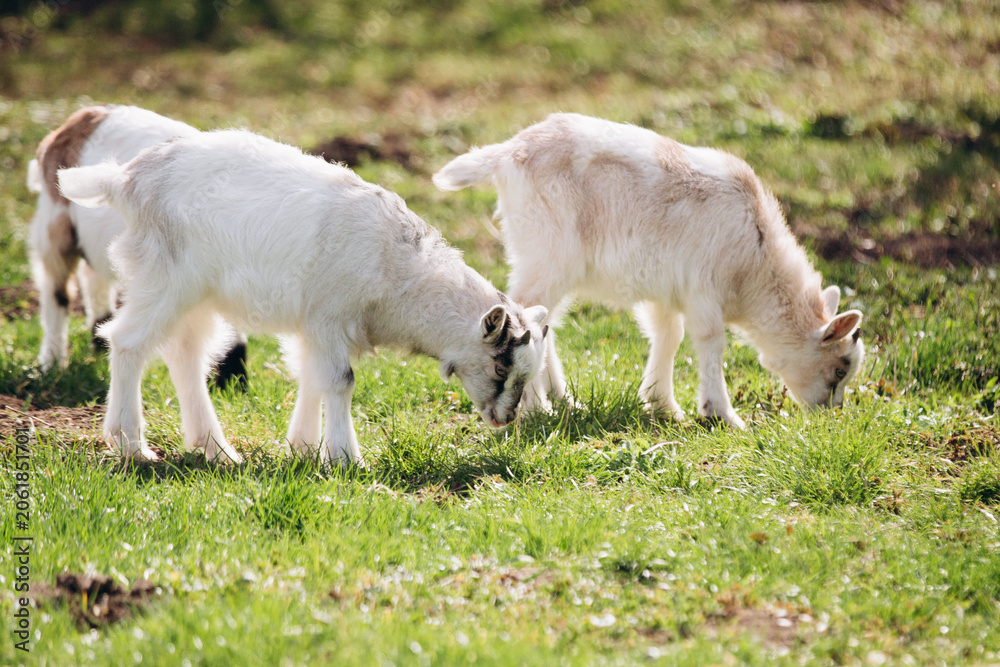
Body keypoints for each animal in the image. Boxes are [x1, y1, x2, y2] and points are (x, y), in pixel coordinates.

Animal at [27, 105, 247, 387]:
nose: (234, 385)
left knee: (92, 275)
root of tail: (82, 117)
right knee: (56, 288)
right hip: (56, 226)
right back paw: (52, 362)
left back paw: (99, 341)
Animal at [58, 129, 548, 464]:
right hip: (165, 279)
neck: (400, 271)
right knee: (128, 341)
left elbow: (312, 376)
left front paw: (304, 448)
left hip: (196, 295)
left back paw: (217, 450)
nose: (505, 419)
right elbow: (340, 380)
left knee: (185, 355)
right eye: (501, 365)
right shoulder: (329, 317)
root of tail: (124, 180)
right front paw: (346, 458)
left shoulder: (316, 327)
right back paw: (131, 446)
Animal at [434, 113, 864, 428]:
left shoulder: (667, 292)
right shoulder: (703, 288)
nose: (831, 414)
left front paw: (662, 404)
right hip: (548, 252)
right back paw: (538, 407)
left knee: (544, 319)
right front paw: (722, 414)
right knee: (526, 312)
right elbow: (711, 341)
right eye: (841, 368)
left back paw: (563, 399)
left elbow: (668, 337)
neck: (755, 266)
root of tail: (507, 152)